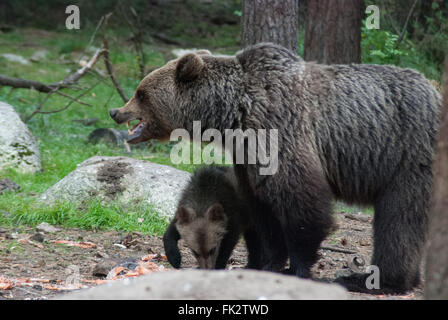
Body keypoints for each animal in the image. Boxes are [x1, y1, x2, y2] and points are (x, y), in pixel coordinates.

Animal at [109, 42, 440, 292]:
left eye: (140, 93)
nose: (115, 111)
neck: (233, 116)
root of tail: (437, 93)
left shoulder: (281, 131)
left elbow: (301, 203)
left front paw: (299, 267)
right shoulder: (247, 158)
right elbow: (263, 211)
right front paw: (270, 263)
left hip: (409, 157)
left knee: (399, 219)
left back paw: (375, 279)